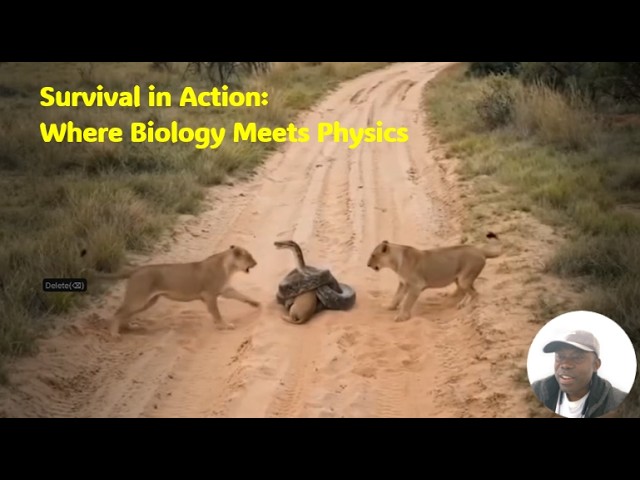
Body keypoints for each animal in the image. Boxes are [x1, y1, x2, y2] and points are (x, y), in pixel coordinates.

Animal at [88, 245, 261, 337]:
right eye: (249, 257)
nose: (256, 263)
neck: (228, 267)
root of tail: (136, 270)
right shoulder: (210, 295)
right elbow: (217, 313)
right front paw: (224, 325)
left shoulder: (225, 290)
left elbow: (242, 295)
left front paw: (256, 304)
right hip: (139, 299)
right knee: (118, 313)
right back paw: (114, 334)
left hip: (148, 301)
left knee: (125, 314)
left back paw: (130, 328)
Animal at [366, 232, 502, 322]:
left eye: (373, 255)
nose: (367, 265)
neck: (396, 262)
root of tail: (480, 251)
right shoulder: (403, 284)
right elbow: (397, 297)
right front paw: (390, 307)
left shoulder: (416, 286)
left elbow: (407, 303)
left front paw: (402, 317)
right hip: (460, 279)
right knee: (467, 291)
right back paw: (461, 303)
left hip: (464, 279)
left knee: (475, 294)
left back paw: (468, 309)